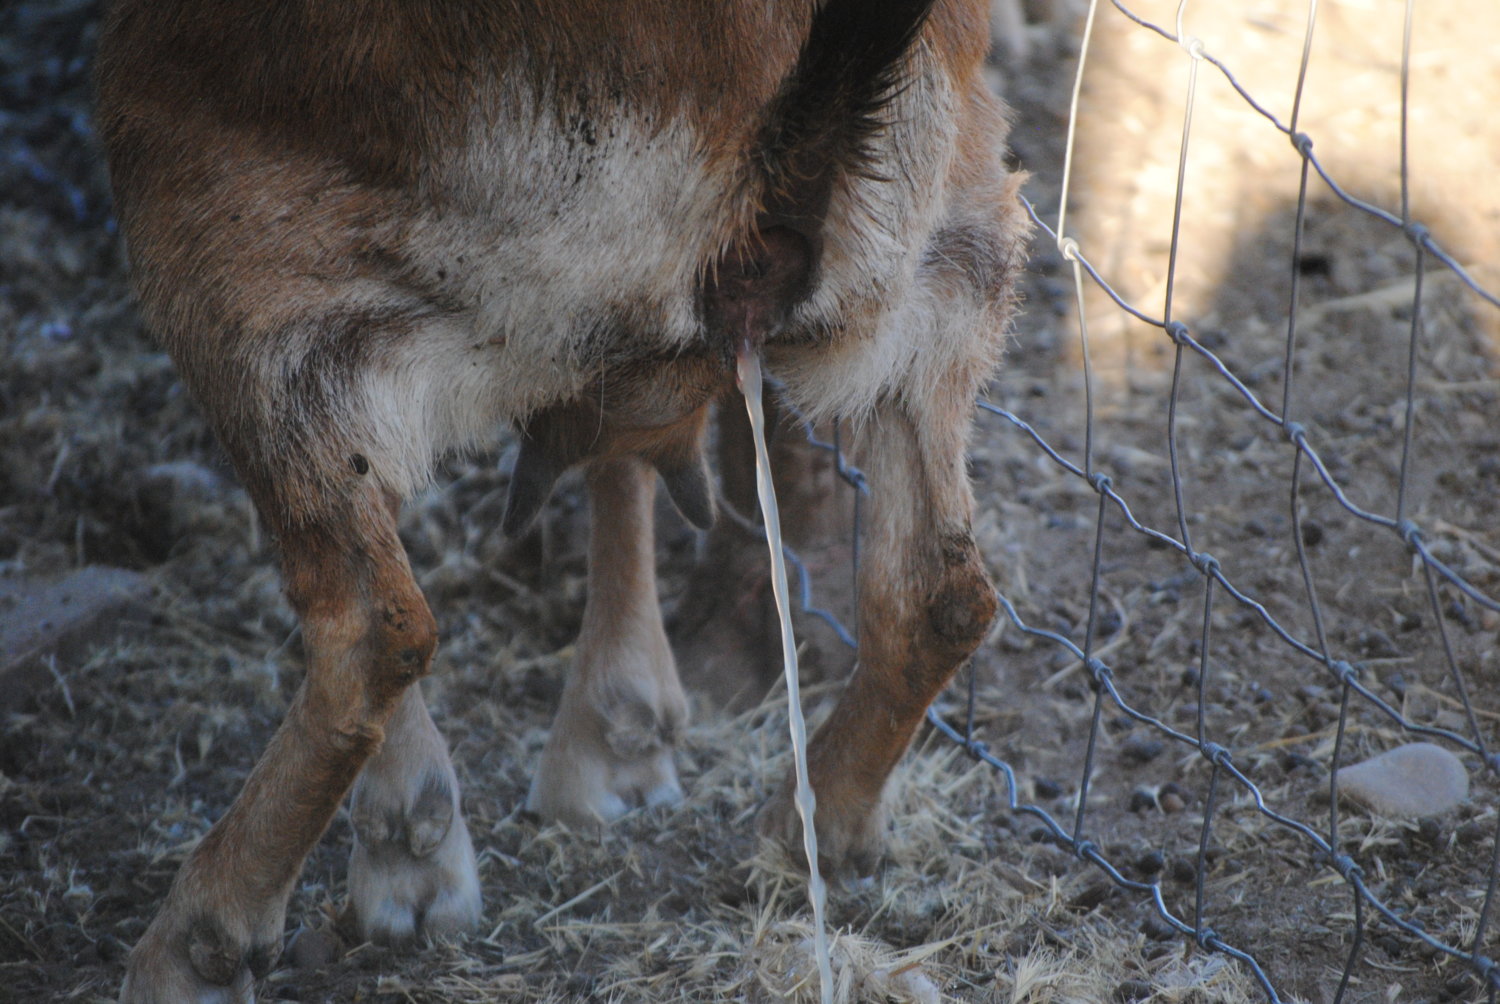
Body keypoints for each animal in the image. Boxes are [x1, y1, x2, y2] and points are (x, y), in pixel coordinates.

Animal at [95, 0, 1026, 998]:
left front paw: (415, 857)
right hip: (949, 250)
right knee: (939, 595)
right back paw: (810, 827)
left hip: (246, 247)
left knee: (375, 625)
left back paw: (200, 938)